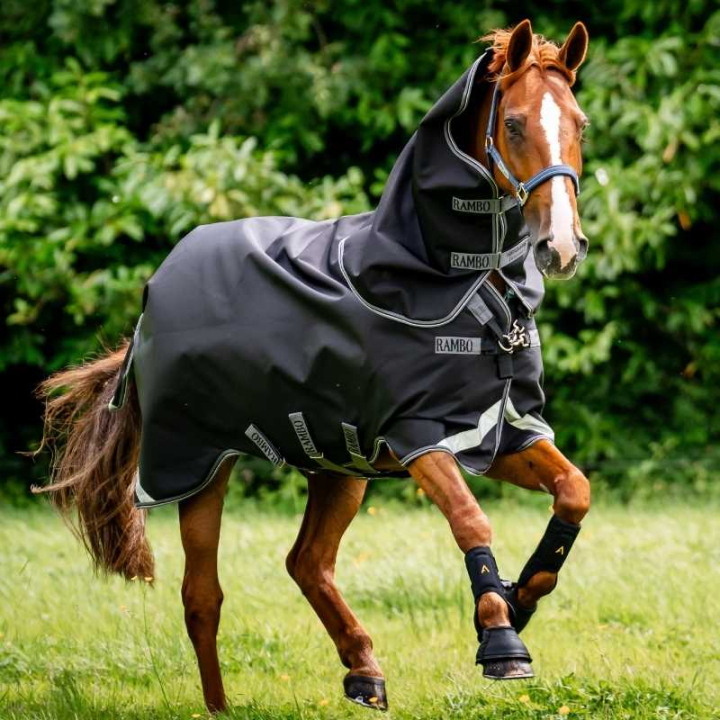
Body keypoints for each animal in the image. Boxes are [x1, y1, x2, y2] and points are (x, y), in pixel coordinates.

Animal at [35, 19, 591, 714]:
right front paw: (500, 640)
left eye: (579, 123)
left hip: (339, 466)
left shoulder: (500, 433)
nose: (560, 246)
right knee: (203, 595)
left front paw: (520, 600)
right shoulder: (420, 437)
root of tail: (154, 291)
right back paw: (222, 707)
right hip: (200, 464)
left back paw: (365, 672)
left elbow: (575, 491)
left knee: (307, 562)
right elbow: (470, 518)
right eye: (513, 124)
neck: (455, 283)